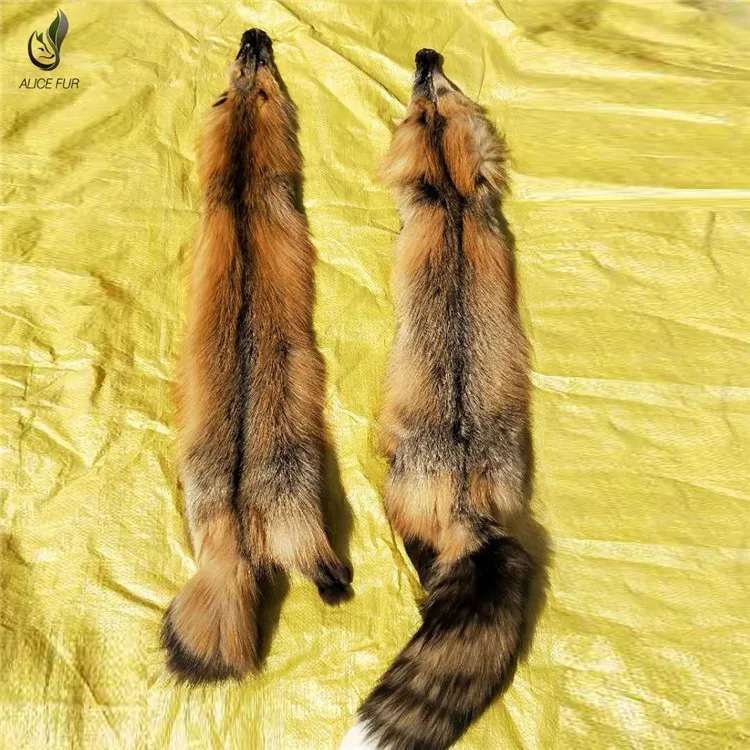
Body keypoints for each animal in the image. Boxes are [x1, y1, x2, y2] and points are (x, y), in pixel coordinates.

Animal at [162, 29, 351, 684]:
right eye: (255, 66)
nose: (253, 34)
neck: (242, 189)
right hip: (304, 511)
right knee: (321, 567)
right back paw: (338, 584)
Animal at [340, 49, 535, 749]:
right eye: (441, 93)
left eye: (422, 99)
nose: (427, 56)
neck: (450, 201)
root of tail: (465, 502)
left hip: (398, 497)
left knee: (423, 558)